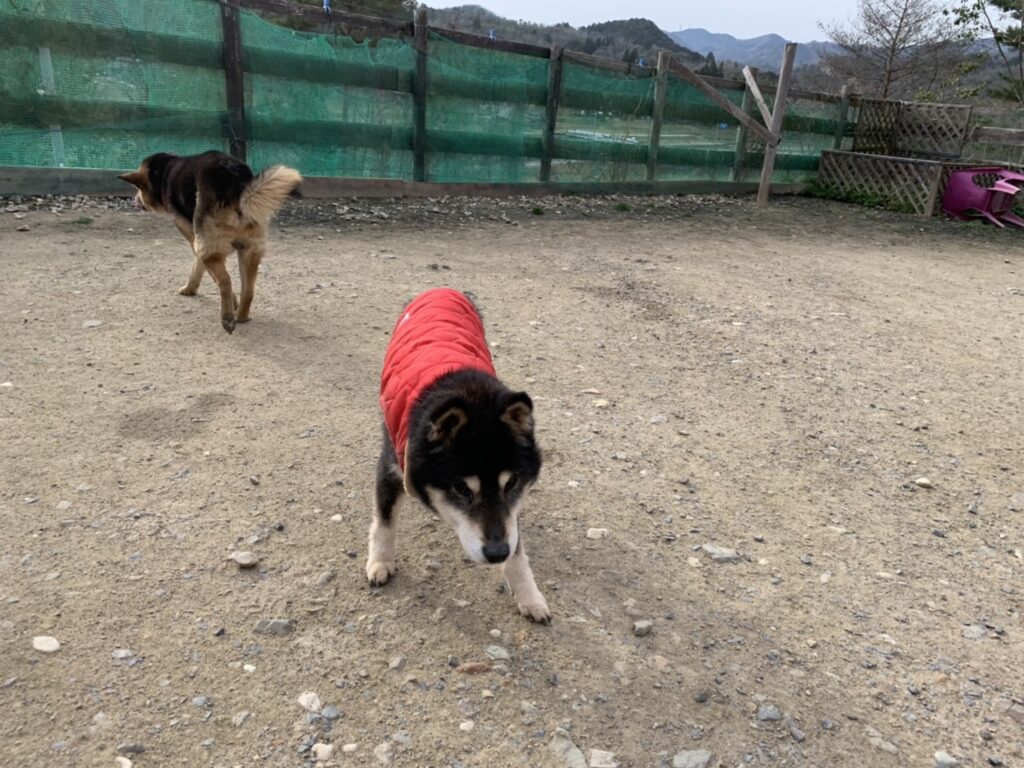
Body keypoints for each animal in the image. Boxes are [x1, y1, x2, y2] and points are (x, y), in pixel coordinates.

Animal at [118, 150, 301, 334]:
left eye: (138, 188)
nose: (134, 201)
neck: (163, 172)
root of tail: (235, 182)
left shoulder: (195, 241)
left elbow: (205, 271)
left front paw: (200, 292)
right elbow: (199, 268)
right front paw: (192, 289)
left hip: (208, 246)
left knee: (225, 280)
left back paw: (227, 318)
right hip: (249, 251)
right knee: (248, 290)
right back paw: (241, 317)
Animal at [368, 288, 550, 623]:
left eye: (511, 483)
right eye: (462, 488)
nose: (496, 553)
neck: (469, 394)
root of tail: (441, 288)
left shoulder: (509, 517)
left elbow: (518, 551)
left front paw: (529, 596)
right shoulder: (389, 467)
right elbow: (384, 523)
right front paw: (380, 562)